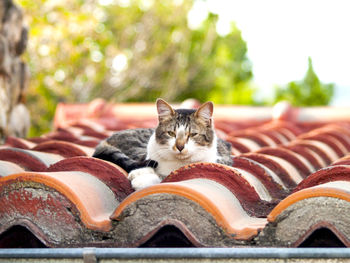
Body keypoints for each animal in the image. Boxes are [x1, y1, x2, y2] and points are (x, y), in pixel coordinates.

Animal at [93, 100, 232, 191]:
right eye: (171, 133)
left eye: (193, 134)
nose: (180, 147)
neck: (177, 162)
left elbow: (165, 177)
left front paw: (143, 179)